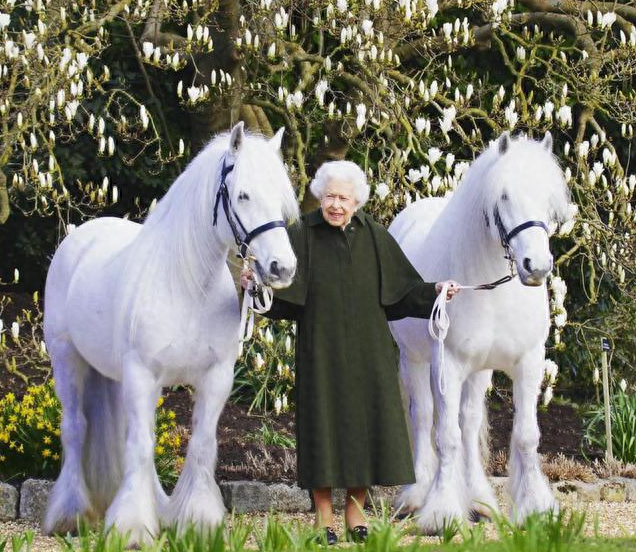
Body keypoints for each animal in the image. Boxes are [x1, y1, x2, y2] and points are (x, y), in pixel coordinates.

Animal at [43, 122, 300, 544]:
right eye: (243, 194)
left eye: (281, 199)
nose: (282, 268)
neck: (187, 285)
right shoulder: (142, 374)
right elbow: (140, 447)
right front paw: (132, 527)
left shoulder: (215, 378)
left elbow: (200, 445)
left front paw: (198, 522)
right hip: (67, 360)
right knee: (76, 429)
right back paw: (70, 515)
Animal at [390, 132, 572, 532]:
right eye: (503, 196)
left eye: (548, 197)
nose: (536, 267)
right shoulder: (448, 365)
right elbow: (446, 437)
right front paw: (441, 512)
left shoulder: (528, 363)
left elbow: (524, 436)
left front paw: (536, 508)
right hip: (414, 360)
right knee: (424, 417)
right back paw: (417, 495)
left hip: (479, 371)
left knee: (469, 422)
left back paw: (478, 500)